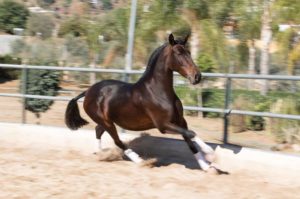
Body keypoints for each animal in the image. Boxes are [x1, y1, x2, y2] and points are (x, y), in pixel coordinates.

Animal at [65, 33, 216, 171]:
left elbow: (189, 138)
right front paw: (210, 151)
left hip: (106, 121)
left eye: (189, 53)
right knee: (117, 141)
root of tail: (88, 91)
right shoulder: (163, 125)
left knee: (98, 131)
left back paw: (100, 154)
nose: (197, 77)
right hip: (107, 123)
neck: (158, 92)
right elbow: (191, 133)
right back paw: (141, 161)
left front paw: (206, 166)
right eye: (178, 53)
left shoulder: (180, 121)